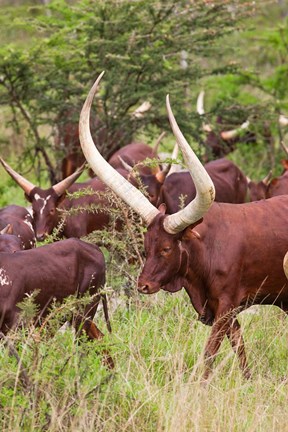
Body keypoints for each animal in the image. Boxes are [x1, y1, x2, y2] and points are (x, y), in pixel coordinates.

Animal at [79, 72, 288, 380]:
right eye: (146, 246)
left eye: (167, 248)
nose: (143, 285)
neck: (206, 248)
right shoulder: (219, 309)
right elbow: (239, 348)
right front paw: (248, 380)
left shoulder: (226, 305)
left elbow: (210, 354)